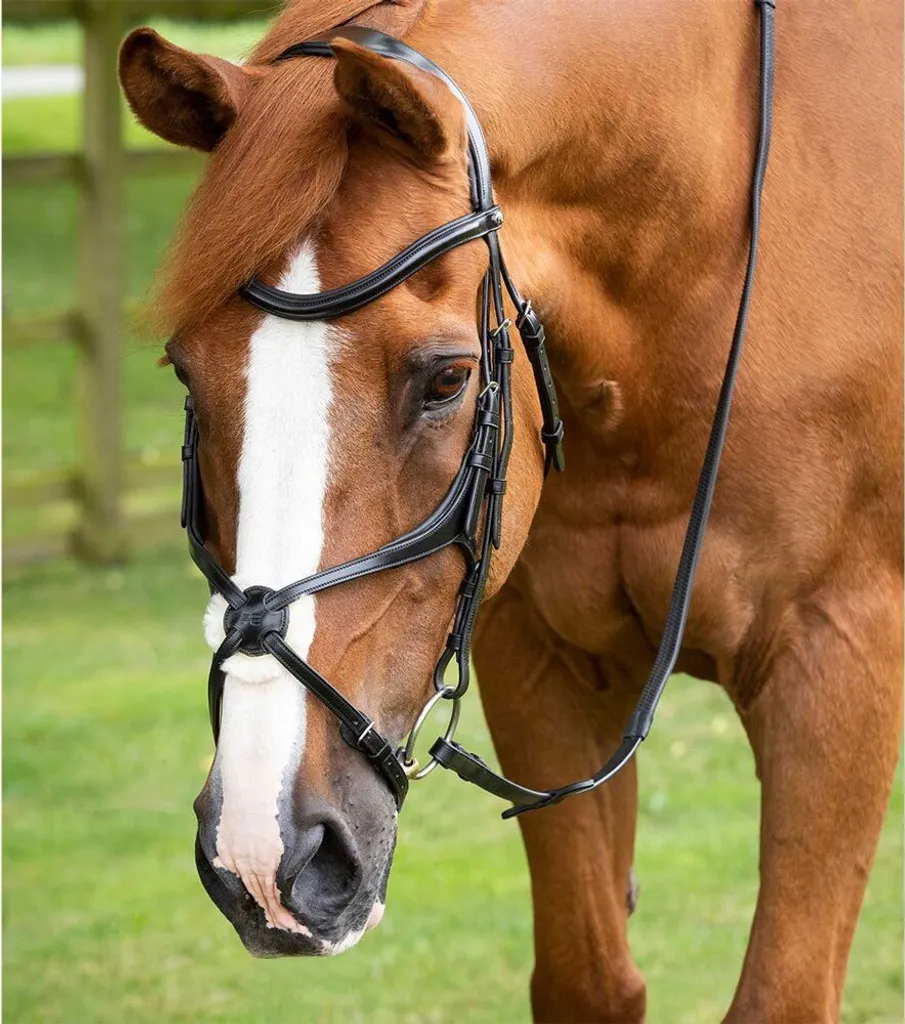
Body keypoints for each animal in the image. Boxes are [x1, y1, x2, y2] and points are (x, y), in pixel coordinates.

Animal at [118, 0, 902, 1019]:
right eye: (186, 372)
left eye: (448, 378)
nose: (263, 850)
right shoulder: (543, 660)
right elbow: (587, 977)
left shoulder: (838, 664)